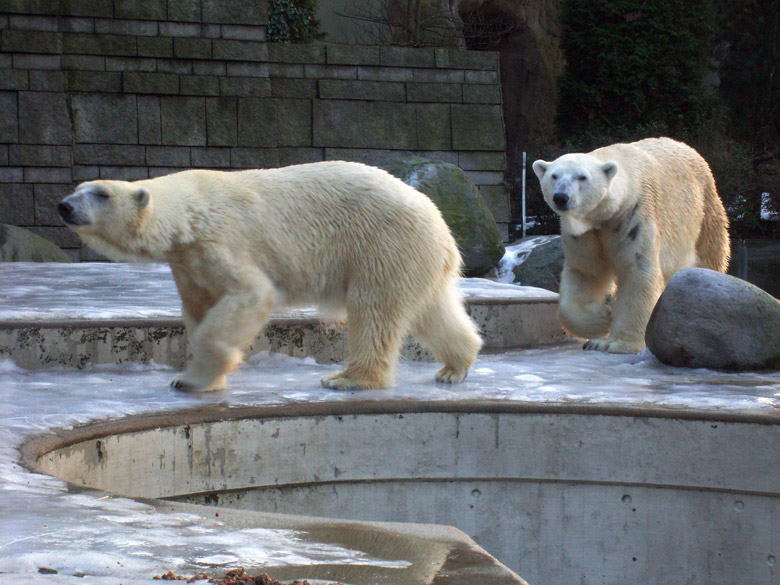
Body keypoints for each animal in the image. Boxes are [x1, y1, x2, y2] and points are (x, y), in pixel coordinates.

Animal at [58, 161, 482, 388]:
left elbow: (251, 296)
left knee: (374, 312)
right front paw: (202, 376)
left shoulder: (223, 242)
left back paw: (348, 379)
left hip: (383, 245)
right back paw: (454, 367)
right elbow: (199, 309)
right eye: (79, 186)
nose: (64, 206)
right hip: (415, 258)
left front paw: (192, 380)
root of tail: (442, 225)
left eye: (101, 193)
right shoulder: (188, 264)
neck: (190, 216)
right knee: (429, 311)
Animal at [532, 138, 728, 352]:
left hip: (704, 213)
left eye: (582, 177)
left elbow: (636, 270)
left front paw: (614, 342)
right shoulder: (584, 234)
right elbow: (585, 272)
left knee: (707, 257)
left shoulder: (633, 215)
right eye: (554, 175)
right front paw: (601, 320)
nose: (561, 197)